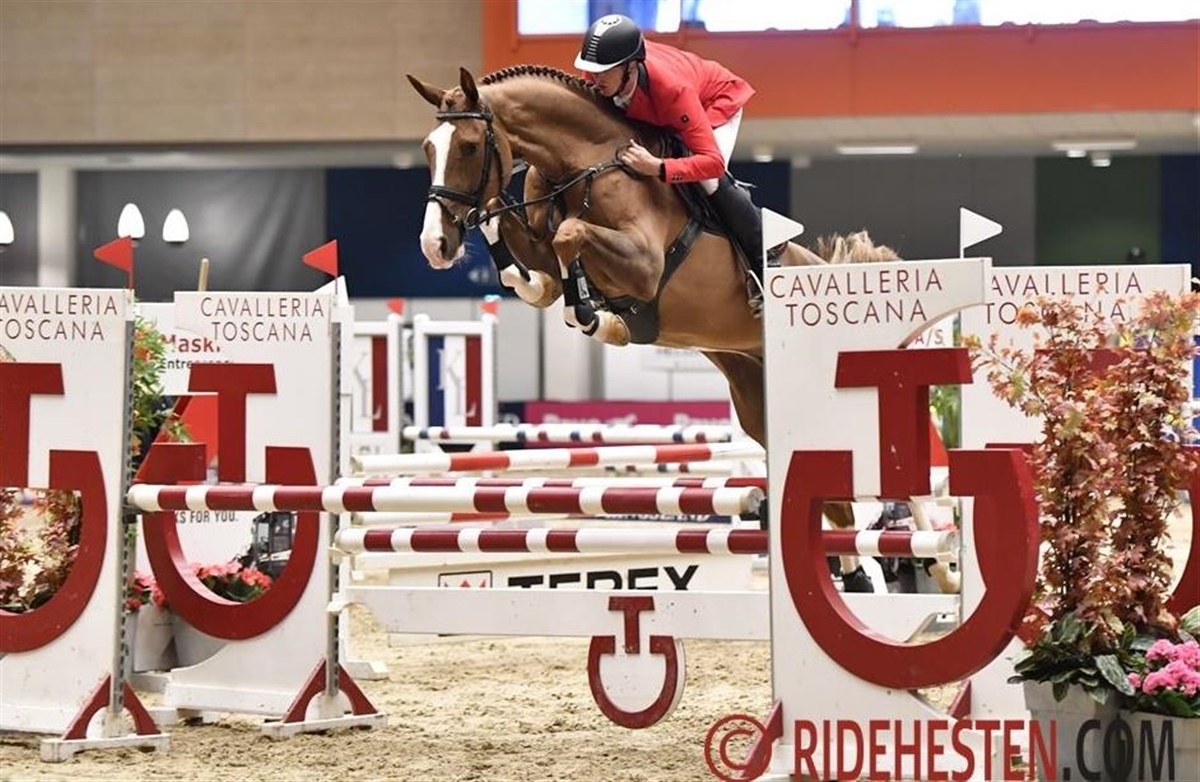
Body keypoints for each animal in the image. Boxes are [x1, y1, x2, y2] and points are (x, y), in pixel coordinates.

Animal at [406, 66, 924, 593]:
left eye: (469, 146)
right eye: (428, 147)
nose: (434, 245)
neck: (582, 166)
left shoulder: (643, 265)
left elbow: (570, 236)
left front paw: (599, 318)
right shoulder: (538, 249)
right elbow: (527, 266)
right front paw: (570, 299)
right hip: (757, 394)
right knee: (833, 500)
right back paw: (857, 580)